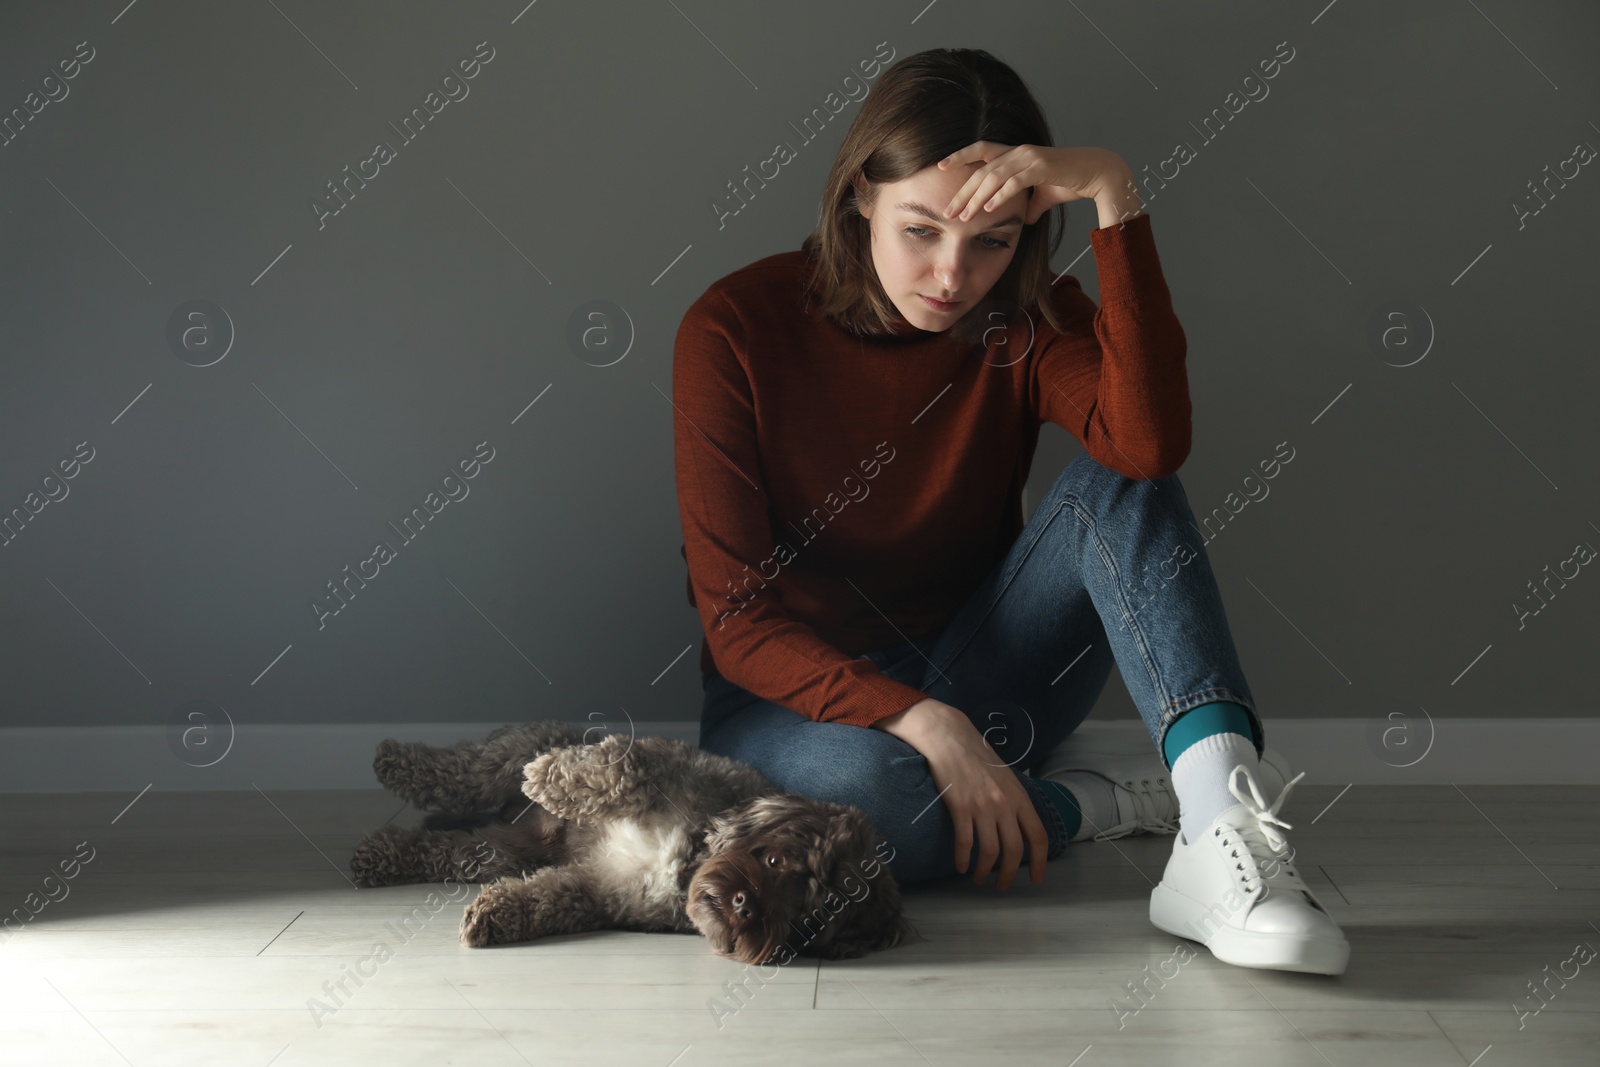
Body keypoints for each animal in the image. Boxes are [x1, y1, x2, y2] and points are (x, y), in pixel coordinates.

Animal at [355, 726, 921, 966]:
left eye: (808, 919)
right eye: (774, 857)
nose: (744, 907)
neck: (688, 858)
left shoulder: (599, 889)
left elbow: (545, 899)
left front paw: (494, 914)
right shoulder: (661, 766)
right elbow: (619, 770)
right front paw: (550, 779)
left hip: (506, 850)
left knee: (451, 848)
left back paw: (383, 856)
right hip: (508, 755)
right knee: (460, 770)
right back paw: (397, 762)